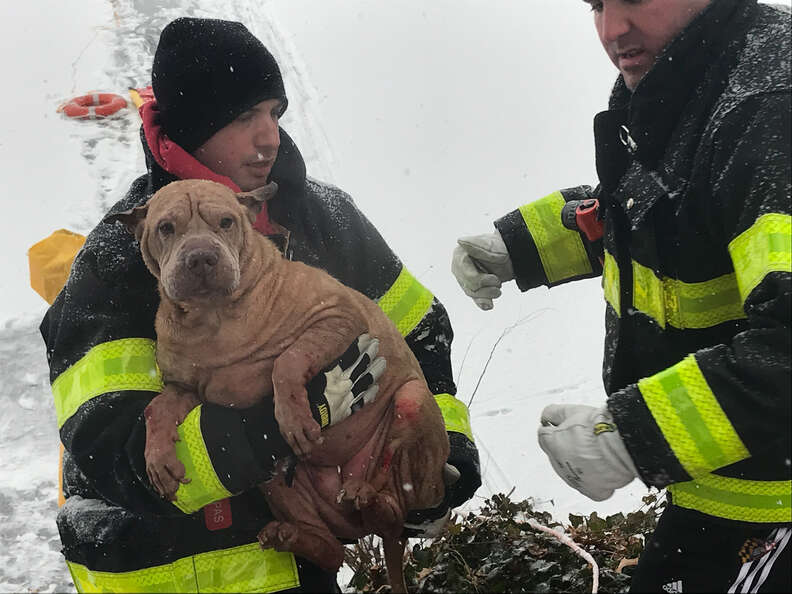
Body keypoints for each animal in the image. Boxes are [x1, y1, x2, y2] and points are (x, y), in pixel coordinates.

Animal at [106, 178, 452, 588]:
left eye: (226, 221)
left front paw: (297, 417)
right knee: (336, 550)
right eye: (165, 227)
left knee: (405, 500)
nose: (201, 258)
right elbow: (155, 407)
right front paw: (158, 458)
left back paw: (370, 495)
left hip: (413, 407)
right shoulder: (184, 389)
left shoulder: (337, 318)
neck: (213, 319)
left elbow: (287, 361)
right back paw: (293, 534)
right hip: (277, 485)